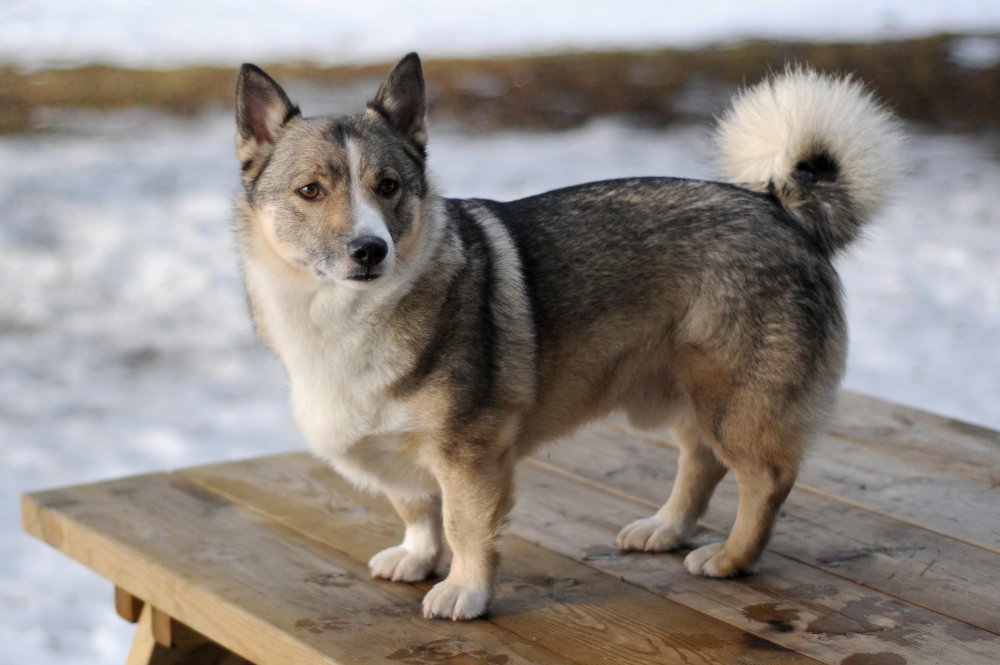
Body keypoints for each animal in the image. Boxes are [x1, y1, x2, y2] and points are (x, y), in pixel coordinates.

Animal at [234, 52, 908, 616]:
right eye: (310, 191)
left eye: (388, 187)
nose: (371, 250)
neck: (343, 313)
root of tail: (779, 206)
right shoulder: (408, 455)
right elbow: (416, 507)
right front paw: (419, 557)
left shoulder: (470, 453)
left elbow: (464, 526)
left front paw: (465, 590)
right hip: (687, 393)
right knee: (701, 462)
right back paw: (666, 528)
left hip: (735, 402)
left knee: (764, 479)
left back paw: (730, 559)